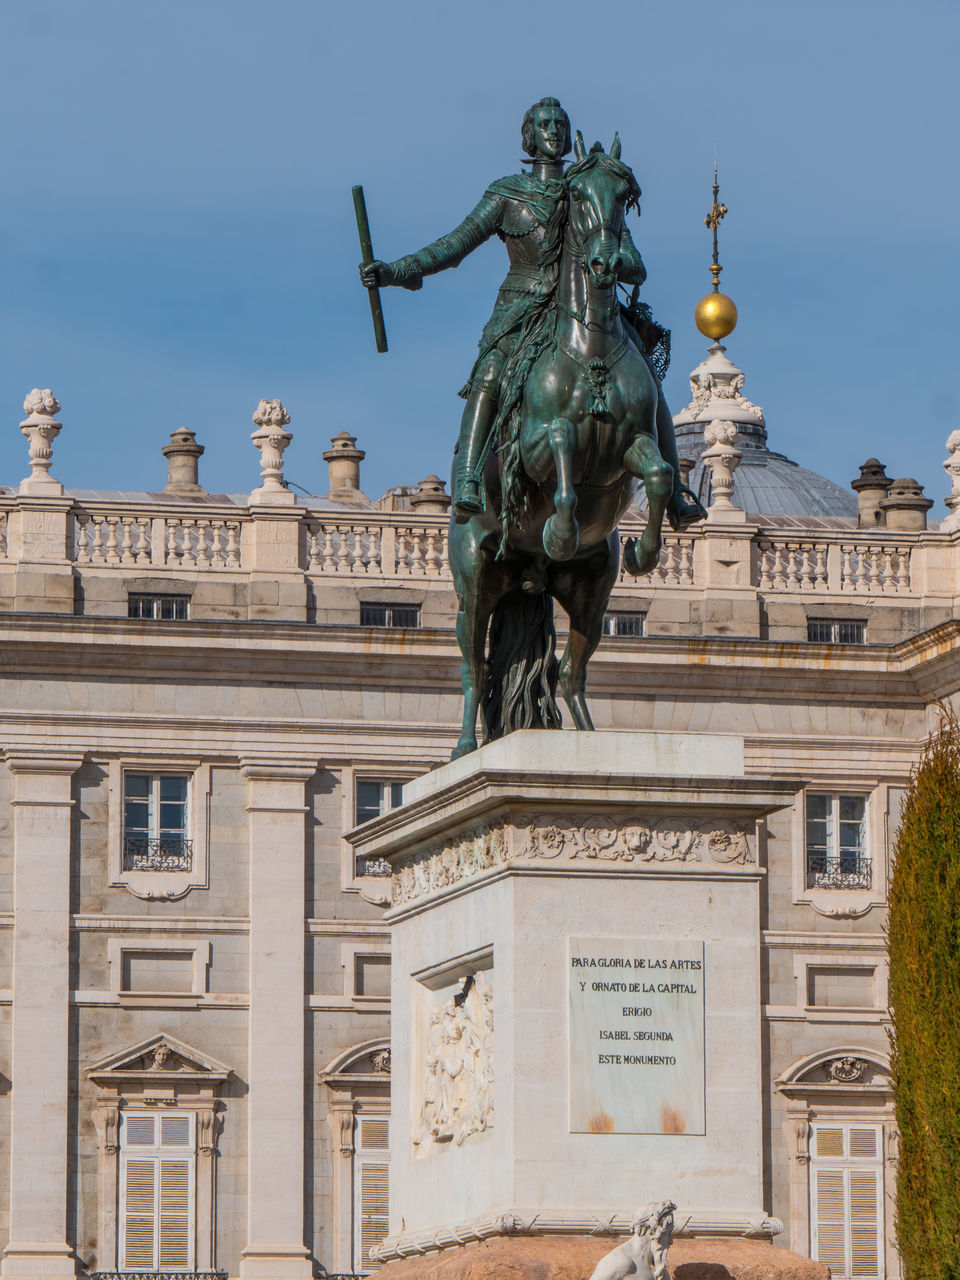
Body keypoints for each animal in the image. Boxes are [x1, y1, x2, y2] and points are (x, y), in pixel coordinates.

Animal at [450, 137, 675, 757]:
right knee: (475, 669)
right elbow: (563, 448)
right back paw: (463, 746)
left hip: (589, 592)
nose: (607, 264)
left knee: (570, 672)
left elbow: (659, 473)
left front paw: (647, 551)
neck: (589, 341)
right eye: (576, 193)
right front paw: (559, 530)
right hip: (476, 581)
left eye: (626, 194)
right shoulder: (532, 449)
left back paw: (589, 735)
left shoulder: (635, 444)